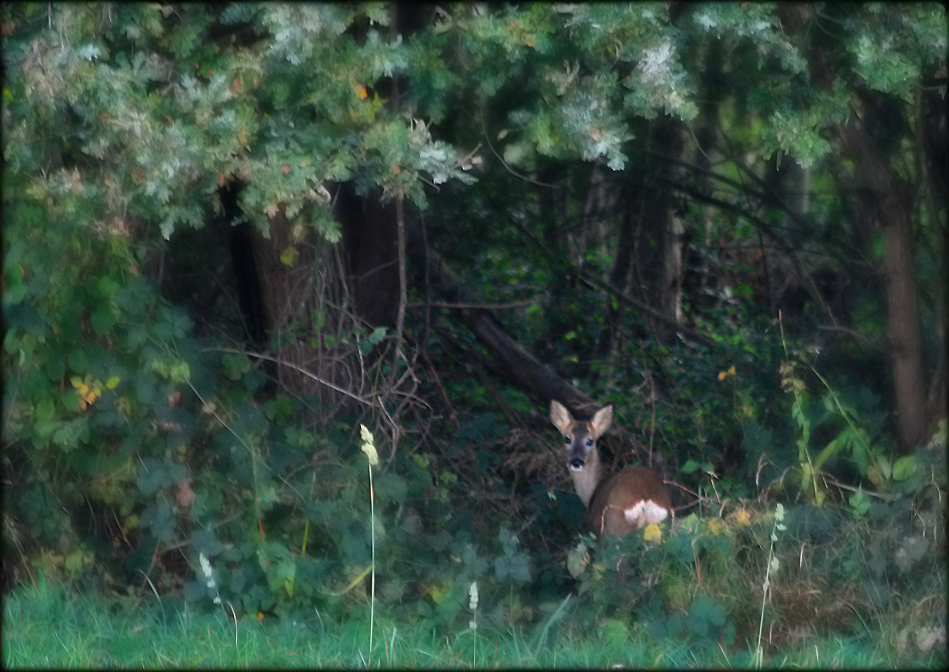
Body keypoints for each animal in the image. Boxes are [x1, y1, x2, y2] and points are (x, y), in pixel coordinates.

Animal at [544, 400, 672, 540]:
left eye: (590, 441)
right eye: (567, 439)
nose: (577, 462)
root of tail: (646, 502)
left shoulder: (596, 526)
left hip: (613, 527)